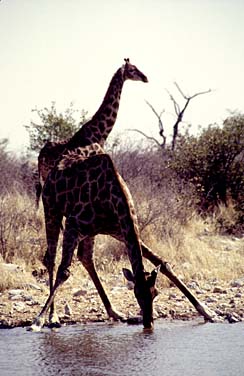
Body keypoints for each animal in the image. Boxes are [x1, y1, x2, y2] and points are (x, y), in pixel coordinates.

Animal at [30, 151, 159, 330]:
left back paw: (114, 312)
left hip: (89, 232)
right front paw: (37, 321)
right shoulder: (72, 224)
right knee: (51, 259)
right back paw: (53, 316)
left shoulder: (118, 229)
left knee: (85, 258)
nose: (149, 323)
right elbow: (64, 271)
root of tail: (56, 167)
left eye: (155, 294)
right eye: (137, 294)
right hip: (51, 210)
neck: (113, 197)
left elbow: (158, 259)